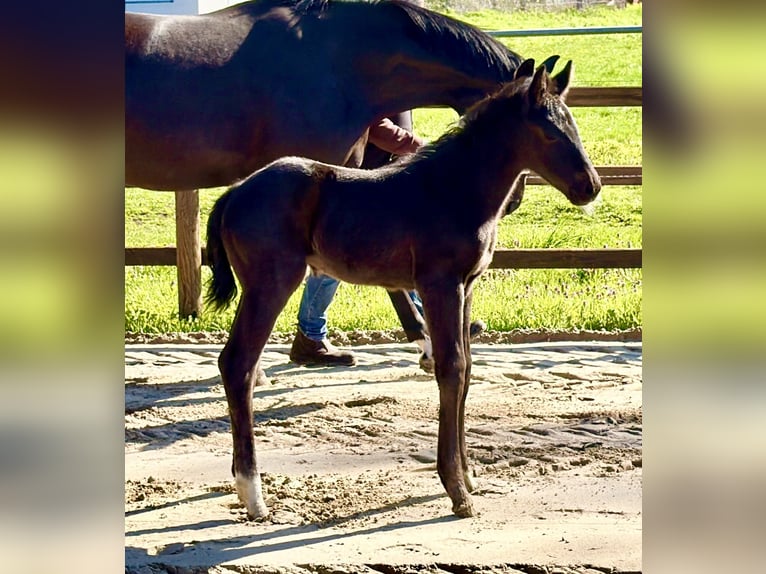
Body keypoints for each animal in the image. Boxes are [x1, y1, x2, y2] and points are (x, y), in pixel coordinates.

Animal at [205, 58, 602, 519]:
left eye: (573, 124)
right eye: (550, 132)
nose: (590, 186)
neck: (453, 189)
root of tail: (235, 192)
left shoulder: (466, 288)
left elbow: (467, 368)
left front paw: (468, 475)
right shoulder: (439, 285)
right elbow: (451, 369)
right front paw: (457, 491)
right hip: (272, 282)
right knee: (238, 364)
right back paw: (253, 494)